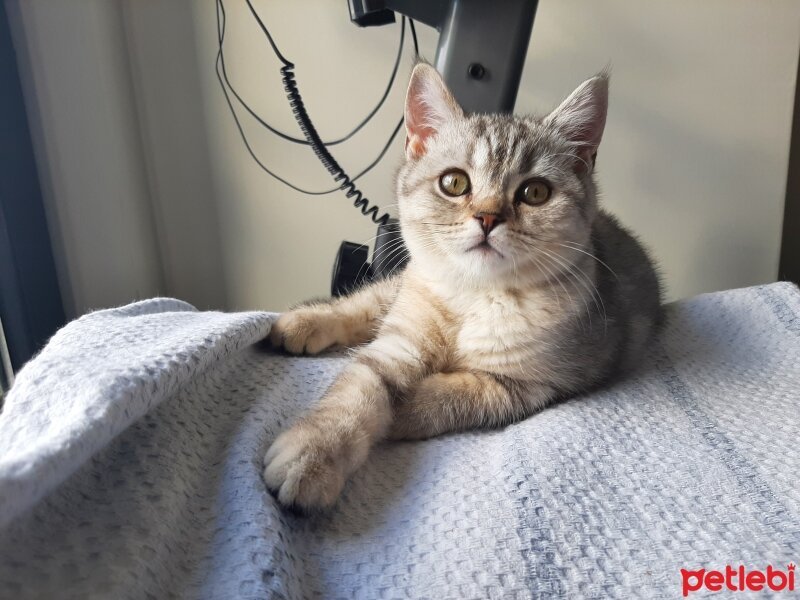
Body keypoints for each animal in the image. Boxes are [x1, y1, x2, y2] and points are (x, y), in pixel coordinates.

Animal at [262, 62, 664, 510]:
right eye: (454, 183)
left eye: (535, 192)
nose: (488, 217)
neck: (473, 299)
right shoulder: (398, 343)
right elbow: (361, 385)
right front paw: (315, 454)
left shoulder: (528, 386)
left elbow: (447, 397)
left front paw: (400, 413)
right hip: (400, 289)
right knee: (361, 306)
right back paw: (303, 323)